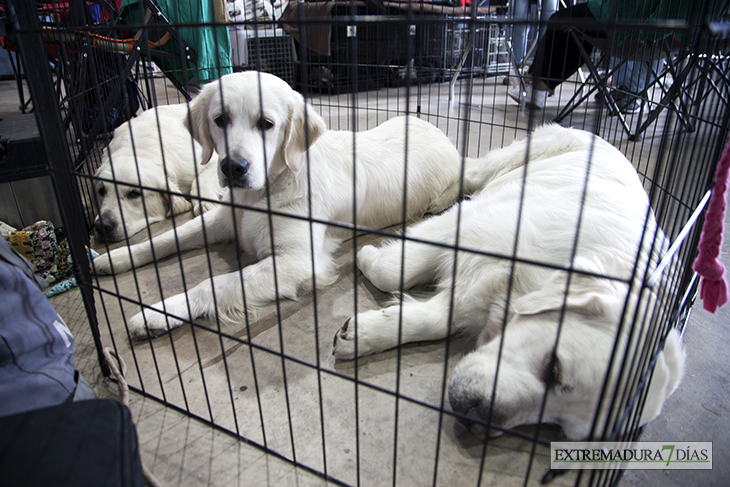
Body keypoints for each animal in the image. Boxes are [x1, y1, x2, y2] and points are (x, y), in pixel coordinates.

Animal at [94, 103, 225, 242]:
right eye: (101, 191)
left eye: (134, 193)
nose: (102, 225)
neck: (137, 151)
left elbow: (198, 180)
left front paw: (205, 202)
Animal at [332, 126, 684, 442]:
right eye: (553, 369)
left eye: (560, 429)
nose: (476, 420)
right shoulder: (472, 227)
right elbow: (392, 271)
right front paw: (366, 257)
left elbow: (434, 319)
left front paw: (365, 334)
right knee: (469, 170)